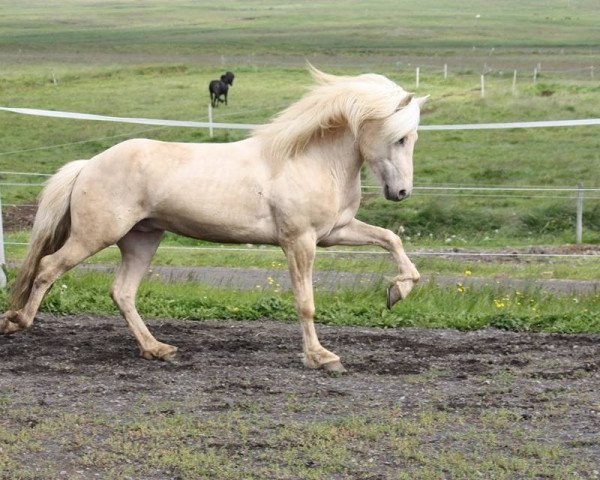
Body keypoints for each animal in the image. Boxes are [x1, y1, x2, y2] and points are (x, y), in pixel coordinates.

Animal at [2, 65, 428, 374]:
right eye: (400, 137)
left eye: (412, 138)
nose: (401, 192)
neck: (309, 160)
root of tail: (88, 165)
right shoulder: (299, 241)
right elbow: (305, 302)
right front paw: (322, 358)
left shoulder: (334, 232)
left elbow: (391, 239)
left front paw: (397, 292)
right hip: (95, 235)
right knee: (48, 267)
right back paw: (15, 321)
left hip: (142, 239)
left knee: (122, 292)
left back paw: (157, 349)